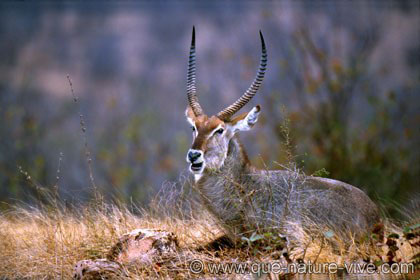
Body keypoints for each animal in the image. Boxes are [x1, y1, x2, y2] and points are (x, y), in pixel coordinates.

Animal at [184, 27, 380, 242]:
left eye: (219, 130)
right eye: (194, 127)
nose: (194, 155)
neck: (247, 184)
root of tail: (373, 214)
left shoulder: (291, 233)